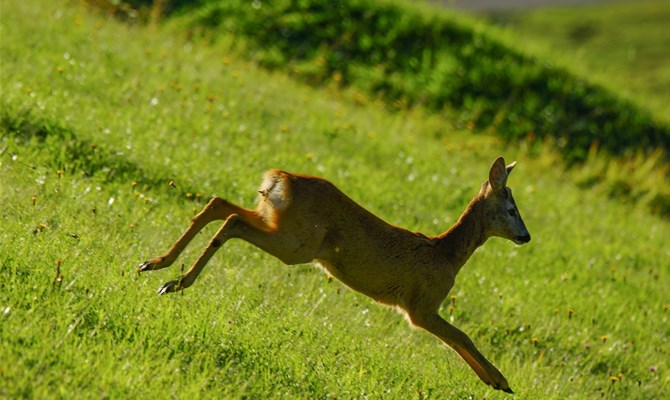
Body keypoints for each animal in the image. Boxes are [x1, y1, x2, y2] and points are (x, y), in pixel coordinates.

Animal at [139, 157, 532, 394]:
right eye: (512, 209)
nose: (526, 237)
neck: (447, 255)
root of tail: (281, 180)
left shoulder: (422, 308)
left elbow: (458, 339)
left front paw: (494, 381)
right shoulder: (420, 307)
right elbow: (462, 336)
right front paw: (500, 381)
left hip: (277, 221)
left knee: (220, 204)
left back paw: (156, 265)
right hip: (298, 244)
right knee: (232, 220)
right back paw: (175, 281)